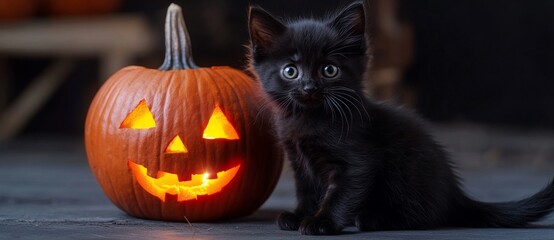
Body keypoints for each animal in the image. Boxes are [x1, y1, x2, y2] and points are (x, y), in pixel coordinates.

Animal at [248, 0, 552, 235]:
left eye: (329, 70)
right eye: (290, 71)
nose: (309, 87)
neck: (308, 119)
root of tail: (454, 193)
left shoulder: (357, 158)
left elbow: (341, 192)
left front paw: (322, 222)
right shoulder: (298, 159)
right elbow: (307, 190)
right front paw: (300, 214)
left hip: (406, 171)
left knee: (424, 215)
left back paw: (375, 218)